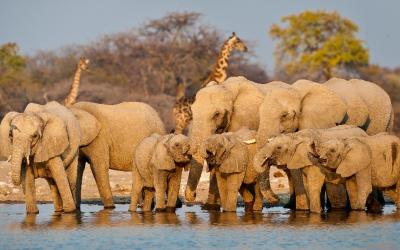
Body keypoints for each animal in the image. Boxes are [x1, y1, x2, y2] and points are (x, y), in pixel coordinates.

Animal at [184, 75, 288, 207]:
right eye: (192, 111)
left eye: (217, 114)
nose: (194, 195)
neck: (227, 88)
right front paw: (211, 207)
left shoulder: (244, 118)